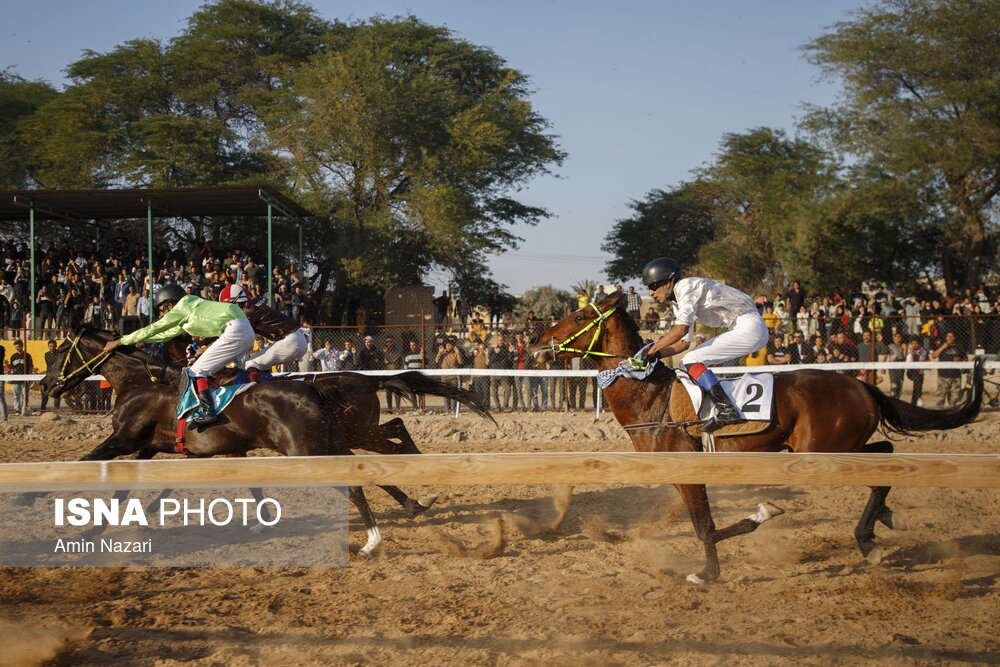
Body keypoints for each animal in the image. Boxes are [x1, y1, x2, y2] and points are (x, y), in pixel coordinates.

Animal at [532, 292, 984, 584]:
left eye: (578, 316)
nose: (535, 341)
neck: (652, 398)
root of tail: (859, 384)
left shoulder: (689, 473)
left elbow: (706, 529)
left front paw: (713, 567)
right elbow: (703, 526)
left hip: (823, 450)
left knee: (883, 458)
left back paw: (867, 536)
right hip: (833, 447)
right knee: (883, 458)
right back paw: (880, 524)